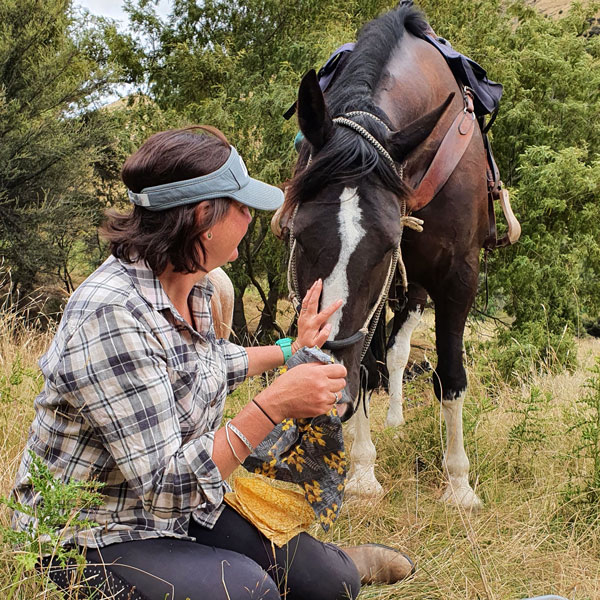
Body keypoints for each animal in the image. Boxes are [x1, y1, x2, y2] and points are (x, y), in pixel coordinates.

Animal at [278, 5, 490, 510]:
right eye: (298, 234)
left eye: (388, 244)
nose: (323, 396)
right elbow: (363, 366)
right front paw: (360, 472)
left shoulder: (459, 276)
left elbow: (450, 378)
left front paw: (459, 484)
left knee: (398, 350)